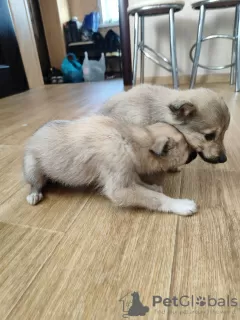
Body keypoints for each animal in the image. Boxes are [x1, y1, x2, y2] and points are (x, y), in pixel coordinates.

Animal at [23, 115, 198, 215]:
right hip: (32, 168)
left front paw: (151, 186)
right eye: (187, 147)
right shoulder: (119, 188)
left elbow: (142, 185)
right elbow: (155, 198)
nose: (196, 153)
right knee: (35, 183)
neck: (130, 140)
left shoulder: (127, 171)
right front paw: (179, 204)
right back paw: (34, 194)